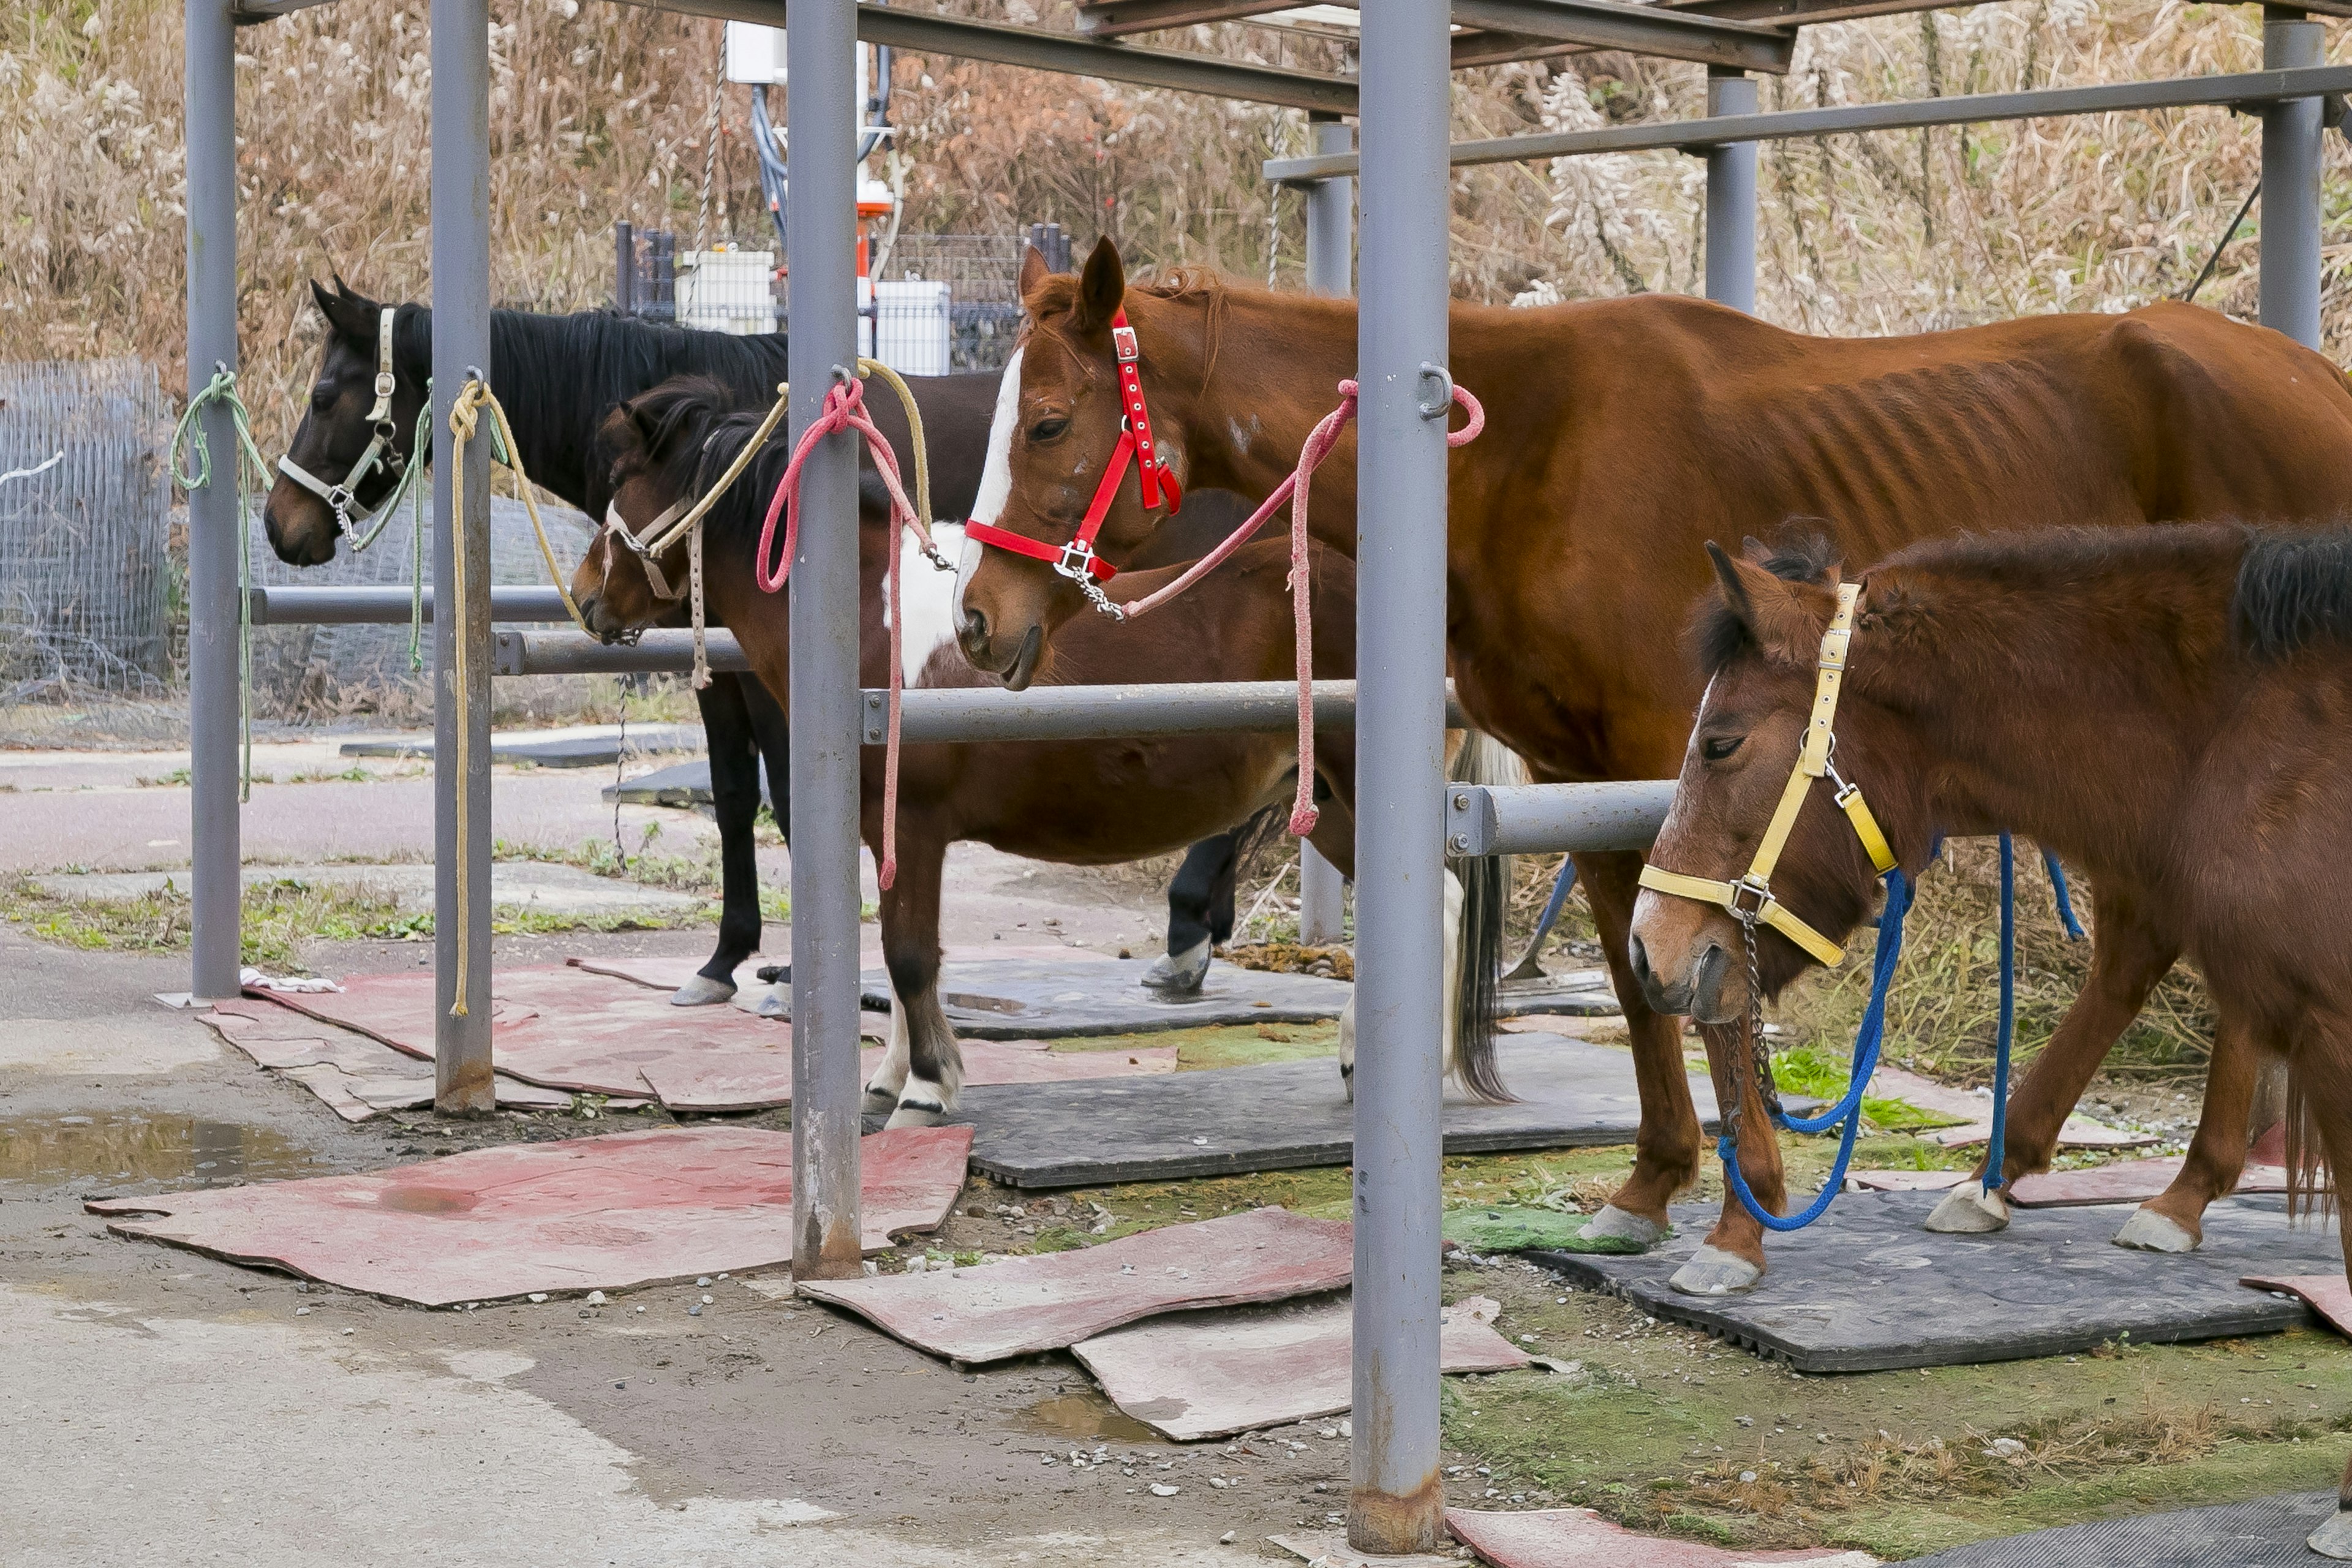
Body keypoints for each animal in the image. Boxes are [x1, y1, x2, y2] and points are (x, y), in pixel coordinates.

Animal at [266, 276, 1261, 1001]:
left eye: (324, 394)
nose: (280, 528)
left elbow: (787, 796)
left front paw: (799, 960)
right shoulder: (724, 665)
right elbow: (737, 796)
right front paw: (727, 958)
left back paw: (1186, 929)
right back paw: (1202, 924)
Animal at [569, 376, 1505, 1128]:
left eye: (619, 486)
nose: (581, 598)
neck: (876, 623)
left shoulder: (914, 824)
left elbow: (910, 958)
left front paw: (928, 1089)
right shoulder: (883, 831)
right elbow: (896, 966)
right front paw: (889, 1080)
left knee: (1437, 904)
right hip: (1332, 807)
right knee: (1441, 900)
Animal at [945, 239, 2352, 1297]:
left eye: (1052, 422)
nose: (975, 621)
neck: (1525, 458)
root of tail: (2317, 379)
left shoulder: (1703, 767)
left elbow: (1712, 988)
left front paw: (1743, 1222)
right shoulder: (1587, 772)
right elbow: (1638, 980)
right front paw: (1654, 1182)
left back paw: (2144, 1181)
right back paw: (2113, 1181)